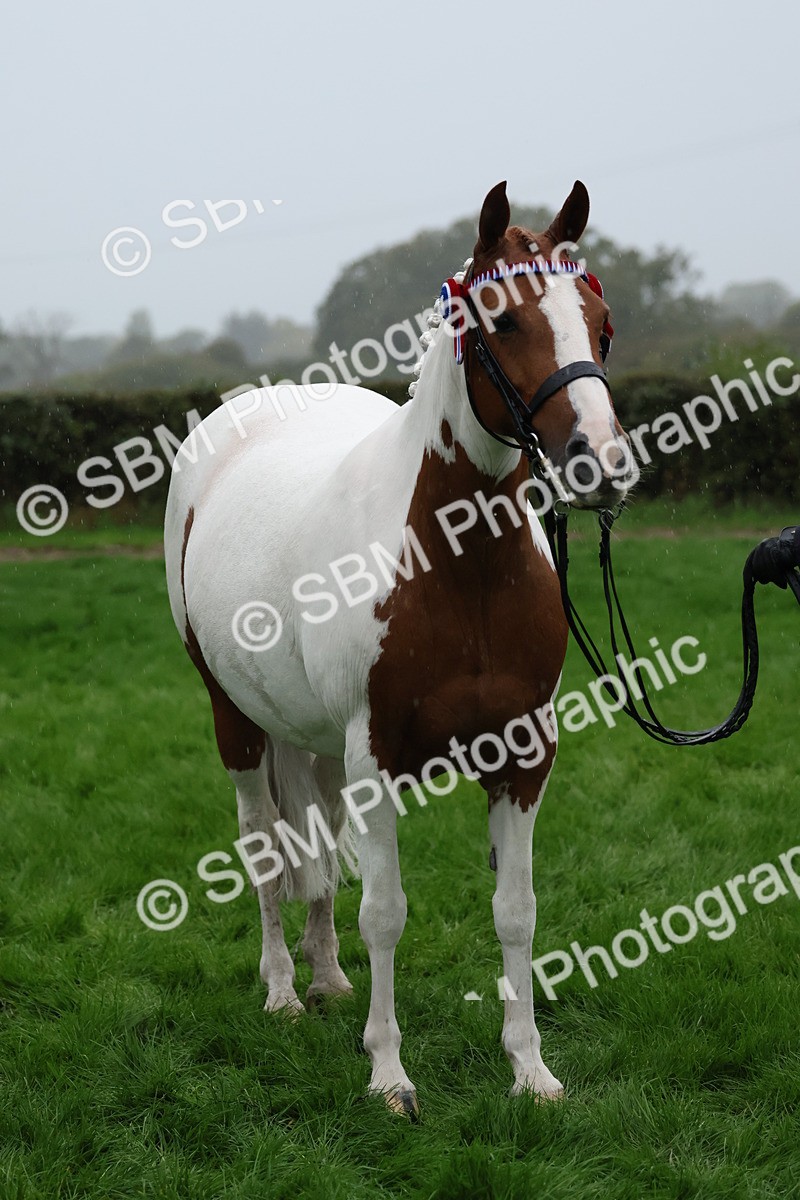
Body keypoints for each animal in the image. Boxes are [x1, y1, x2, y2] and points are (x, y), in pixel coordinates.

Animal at [164, 179, 635, 1117]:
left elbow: (516, 910)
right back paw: (283, 989)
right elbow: (384, 912)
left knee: (314, 855)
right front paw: (388, 1073)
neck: (457, 566)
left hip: (313, 741)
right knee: (265, 848)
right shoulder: (375, 758)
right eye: (504, 321)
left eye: (601, 325)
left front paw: (530, 1070)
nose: (598, 462)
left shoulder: (523, 755)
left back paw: (326, 978)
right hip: (235, 719)